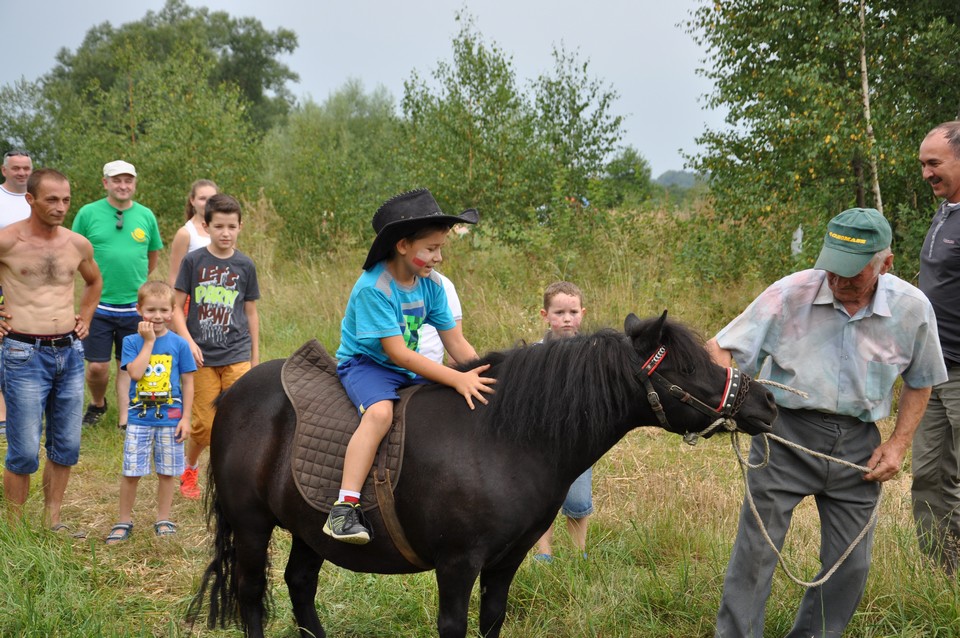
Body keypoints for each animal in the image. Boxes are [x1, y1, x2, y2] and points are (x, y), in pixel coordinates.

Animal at [189, 312, 780, 636]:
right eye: (687, 366)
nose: (767, 403)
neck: (502, 437)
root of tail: (236, 394)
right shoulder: (457, 565)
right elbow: (454, 624)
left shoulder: (506, 562)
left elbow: (492, 619)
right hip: (252, 526)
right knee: (252, 597)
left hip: (309, 527)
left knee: (300, 585)